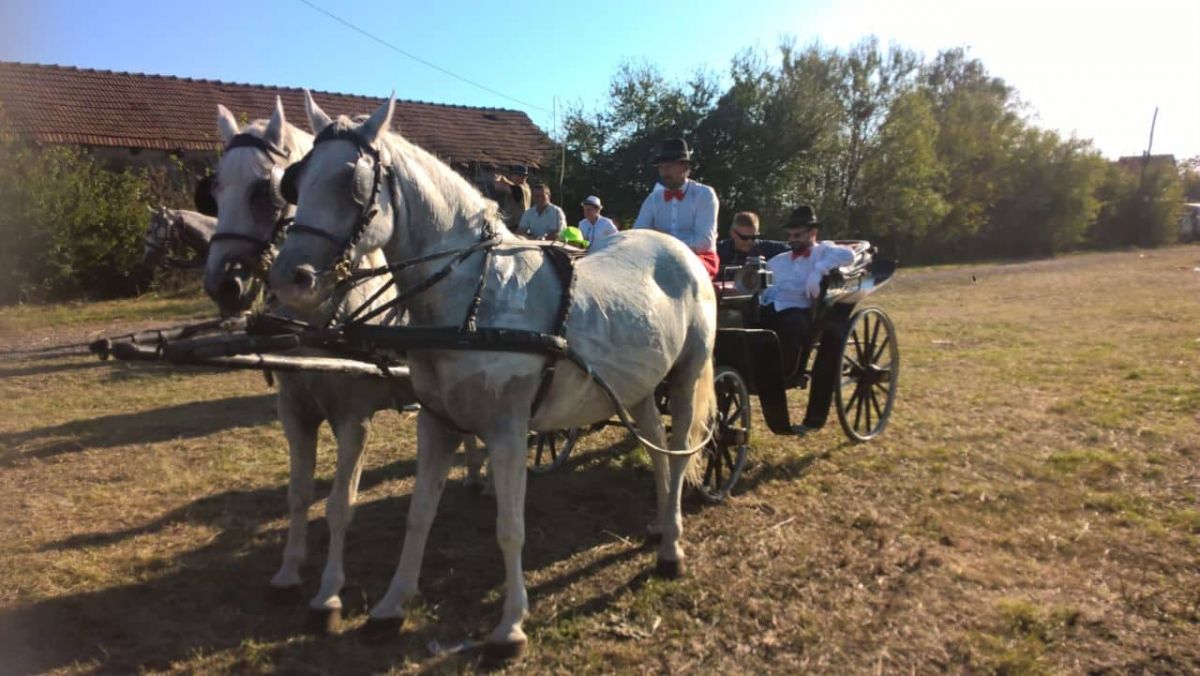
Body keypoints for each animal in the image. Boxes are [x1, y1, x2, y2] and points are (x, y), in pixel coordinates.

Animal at [204, 97, 484, 633]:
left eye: (265, 189)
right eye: (215, 188)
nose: (224, 283)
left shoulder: (354, 418)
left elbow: (340, 504)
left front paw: (329, 593)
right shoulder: (294, 412)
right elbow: (298, 493)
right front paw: (288, 572)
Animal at [271, 92, 715, 657]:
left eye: (352, 179)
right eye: (297, 179)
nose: (290, 278)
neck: (477, 297)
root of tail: (680, 252)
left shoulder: (507, 430)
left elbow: (510, 528)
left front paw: (510, 627)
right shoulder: (436, 423)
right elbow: (419, 514)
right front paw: (391, 607)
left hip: (686, 376)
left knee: (678, 453)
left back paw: (672, 550)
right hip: (636, 388)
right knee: (656, 448)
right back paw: (659, 525)